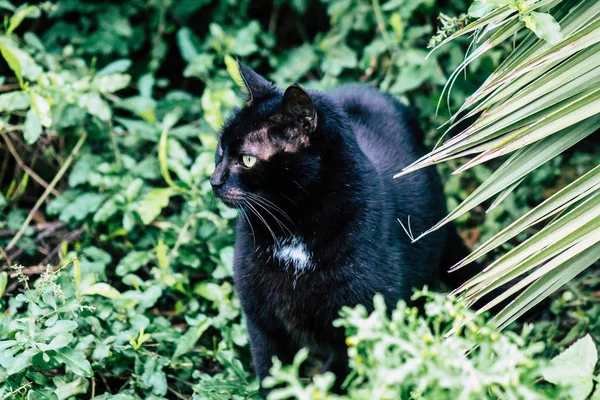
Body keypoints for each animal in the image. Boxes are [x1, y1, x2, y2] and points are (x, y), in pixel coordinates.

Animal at [212, 62, 474, 394]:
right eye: (220, 148)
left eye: (247, 159)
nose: (214, 180)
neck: (292, 228)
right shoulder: (261, 320)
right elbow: (271, 372)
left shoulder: (363, 319)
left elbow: (339, 374)